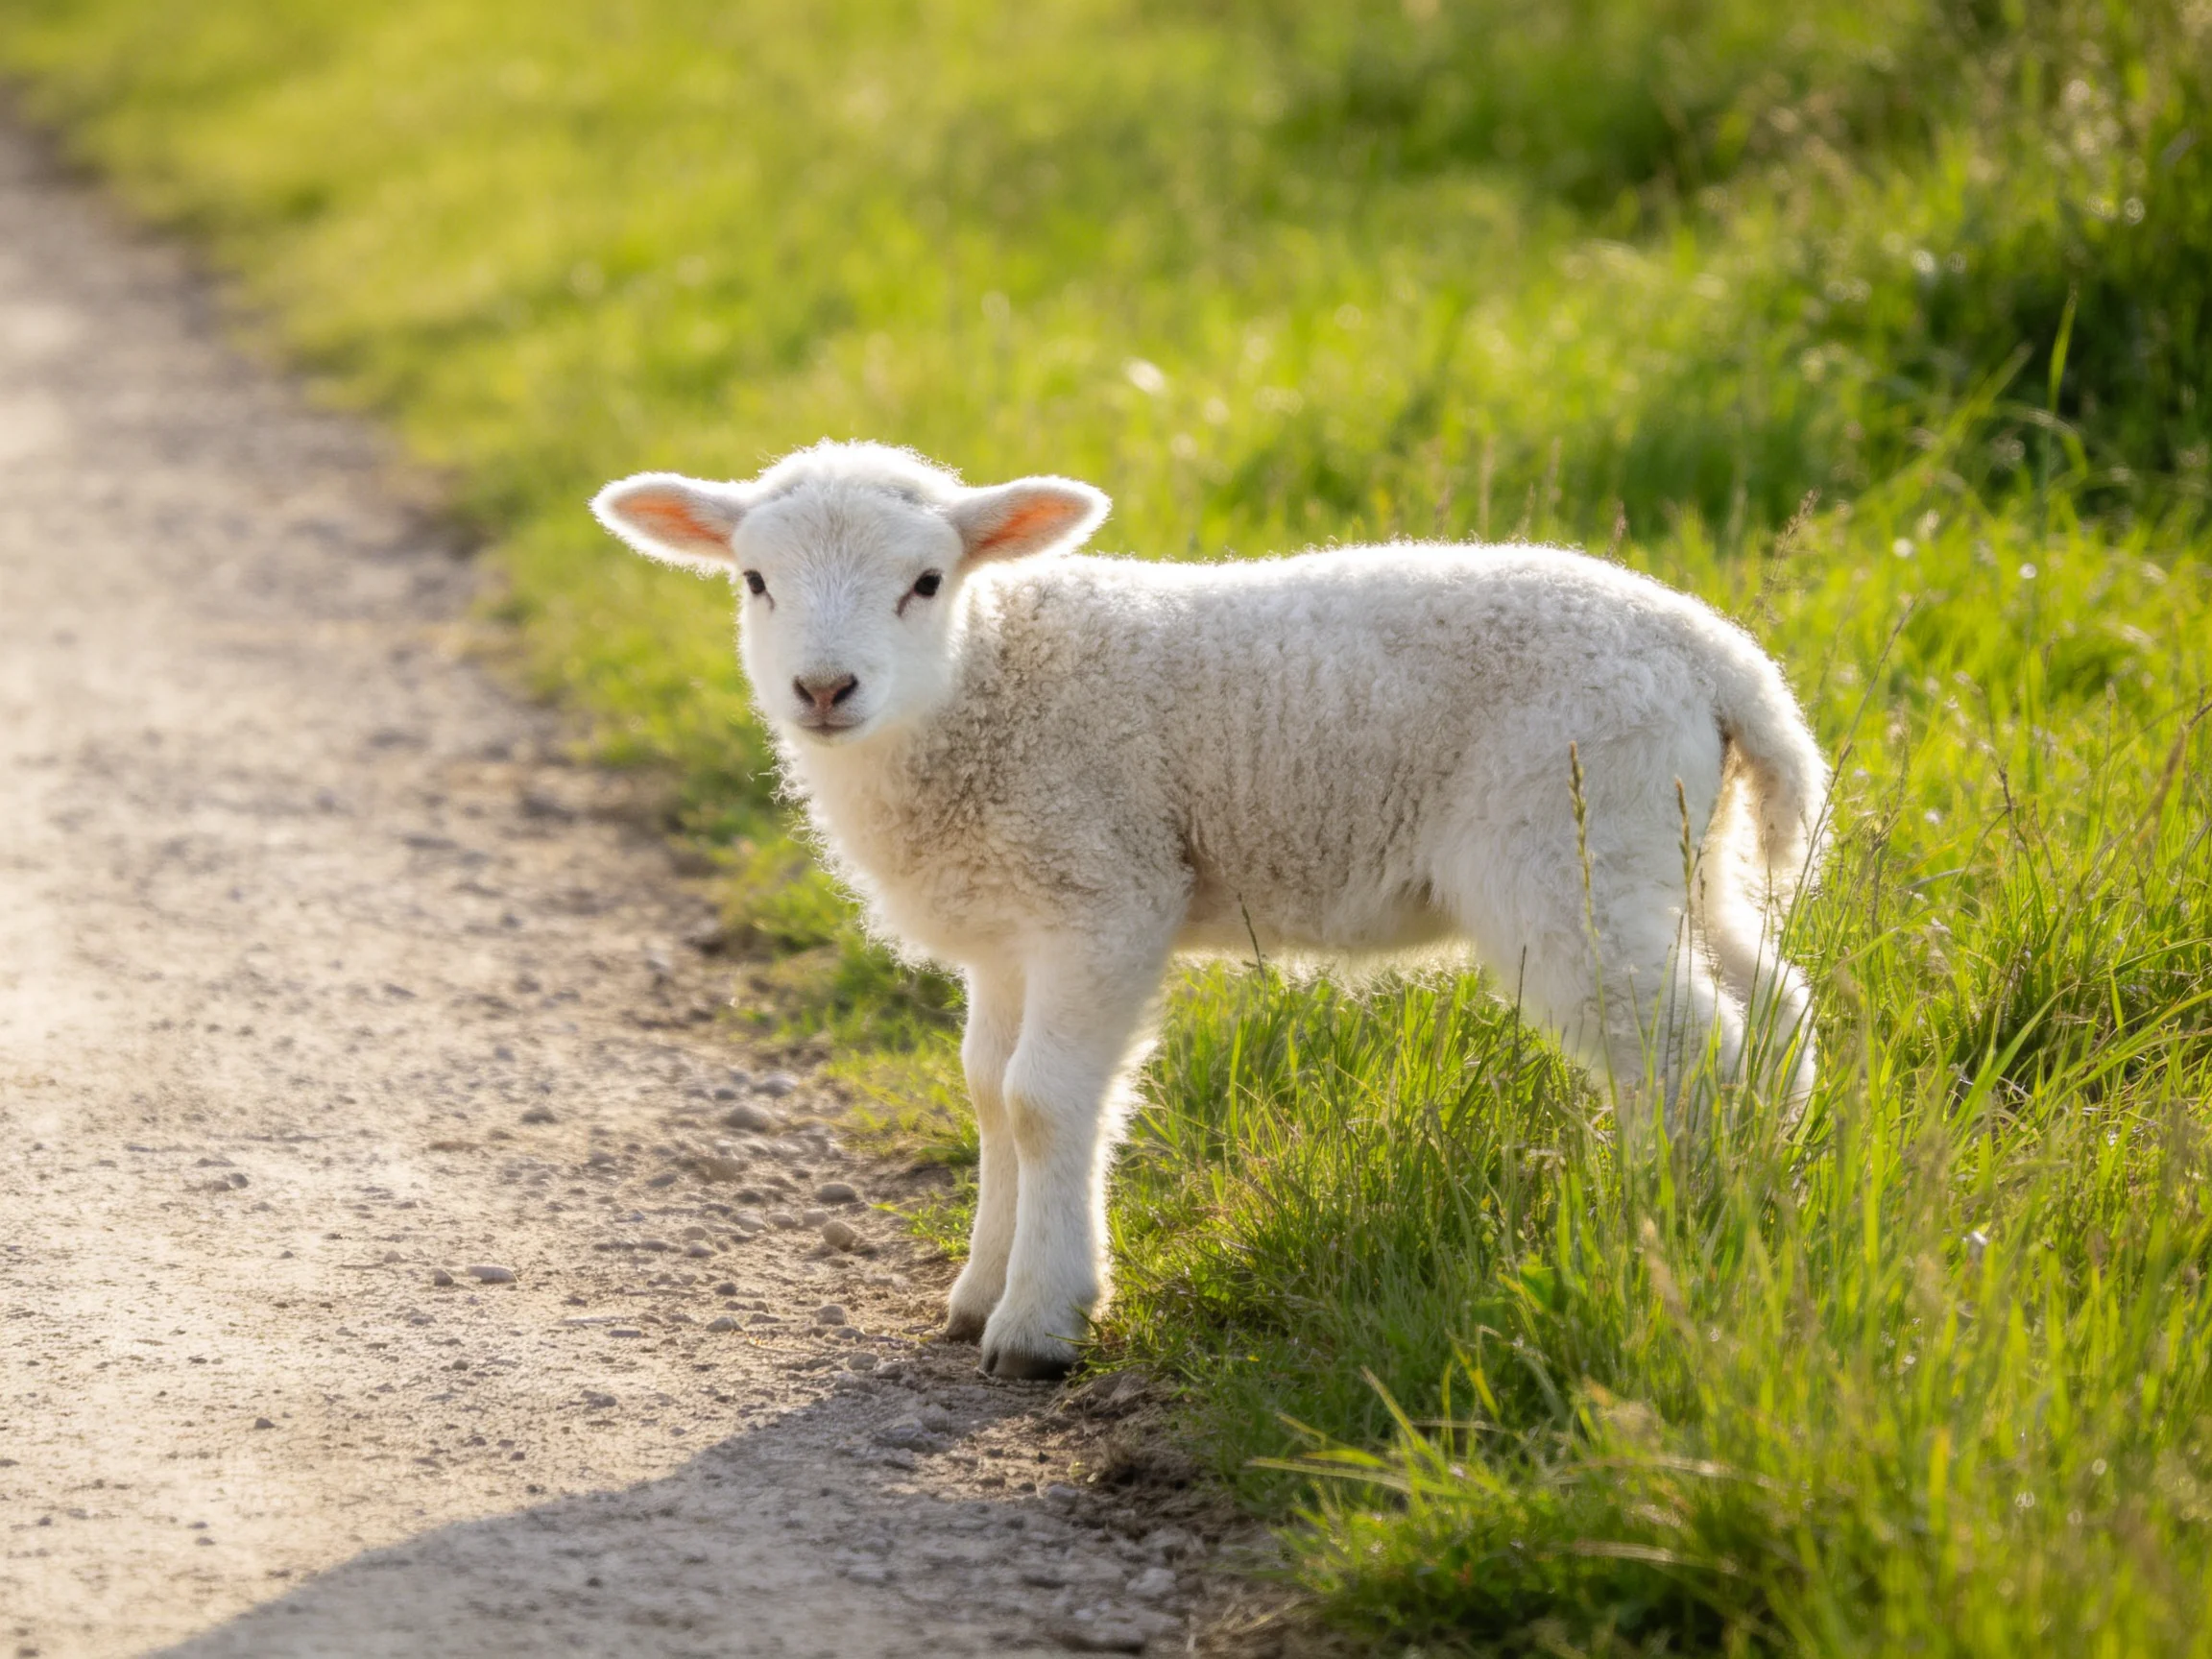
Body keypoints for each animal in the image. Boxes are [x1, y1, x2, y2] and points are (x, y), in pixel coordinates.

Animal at [592, 440, 1829, 1380]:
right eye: (755, 581)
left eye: (927, 583)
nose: (824, 689)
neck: (985, 681)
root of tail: (1718, 658)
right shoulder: (1008, 926)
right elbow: (987, 1092)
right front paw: (978, 1289)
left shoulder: (1105, 894)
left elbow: (1043, 1104)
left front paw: (1039, 1322)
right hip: (1671, 845)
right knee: (1773, 1004)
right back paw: (1770, 1180)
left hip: (1566, 845)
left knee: (1688, 1049)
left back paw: (1677, 1223)